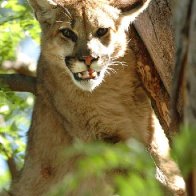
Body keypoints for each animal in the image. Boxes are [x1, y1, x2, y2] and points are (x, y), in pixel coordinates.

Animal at [9, 0, 187, 195]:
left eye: (101, 31)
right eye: (67, 32)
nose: (88, 59)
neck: (110, 89)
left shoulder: (149, 131)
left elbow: (158, 160)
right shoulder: (98, 137)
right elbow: (133, 165)